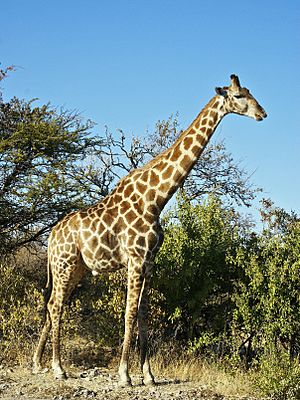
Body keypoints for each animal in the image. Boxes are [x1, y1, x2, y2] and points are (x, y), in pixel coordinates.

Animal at [32, 74, 268, 384]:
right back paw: (58, 368)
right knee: (56, 305)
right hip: (65, 263)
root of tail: (51, 237)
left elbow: (143, 313)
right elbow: (129, 313)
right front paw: (125, 374)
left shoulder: (150, 261)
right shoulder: (135, 259)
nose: (262, 113)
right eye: (239, 96)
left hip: (77, 268)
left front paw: (149, 375)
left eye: (250, 92)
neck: (155, 199)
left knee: (52, 304)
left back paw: (38, 362)